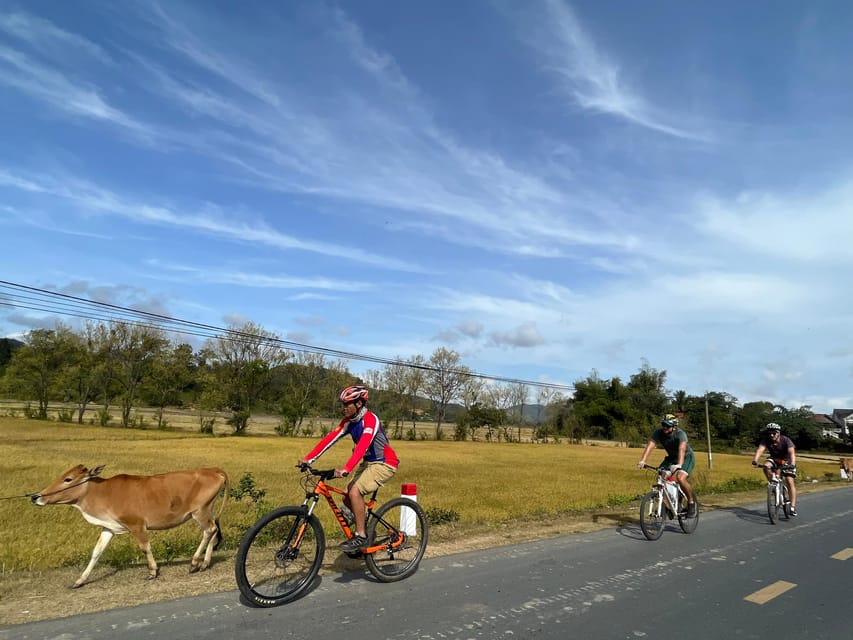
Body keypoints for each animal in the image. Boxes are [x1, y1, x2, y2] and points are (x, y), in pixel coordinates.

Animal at [32, 462, 228, 588]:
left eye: (68, 479)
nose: (36, 496)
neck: (103, 492)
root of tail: (214, 470)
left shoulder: (136, 525)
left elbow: (145, 547)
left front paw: (152, 572)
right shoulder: (108, 528)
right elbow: (96, 552)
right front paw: (80, 580)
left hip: (200, 511)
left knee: (209, 530)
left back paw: (194, 563)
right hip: (208, 511)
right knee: (213, 532)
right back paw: (204, 563)